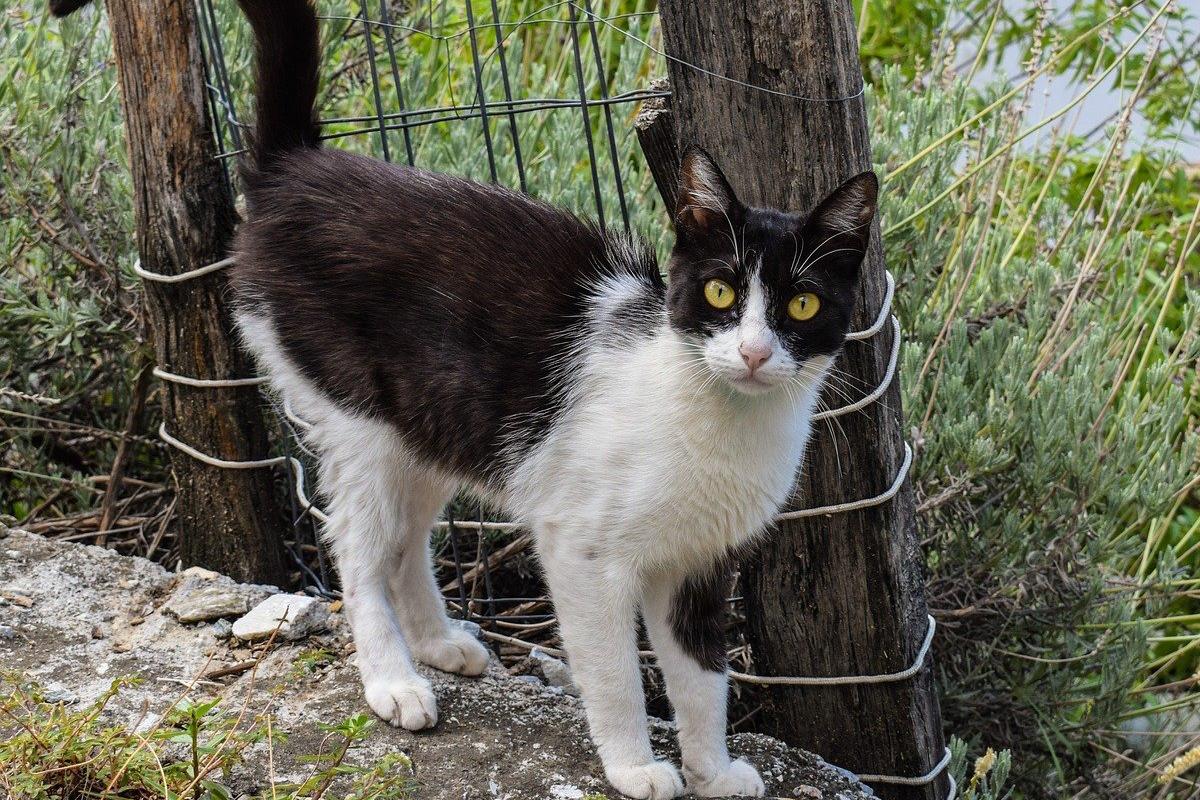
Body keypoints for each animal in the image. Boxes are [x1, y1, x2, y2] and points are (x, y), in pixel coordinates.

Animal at [229, 3, 878, 796]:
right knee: (359, 548)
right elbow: (618, 674)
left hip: (436, 420)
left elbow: (703, 679)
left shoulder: (698, 562)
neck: (716, 413)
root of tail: (296, 170)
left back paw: (438, 643)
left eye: (804, 304)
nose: (754, 353)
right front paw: (635, 767)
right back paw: (393, 681)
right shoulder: (583, 551)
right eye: (722, 292)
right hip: (359, 418)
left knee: (405, 538)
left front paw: (714, 771)